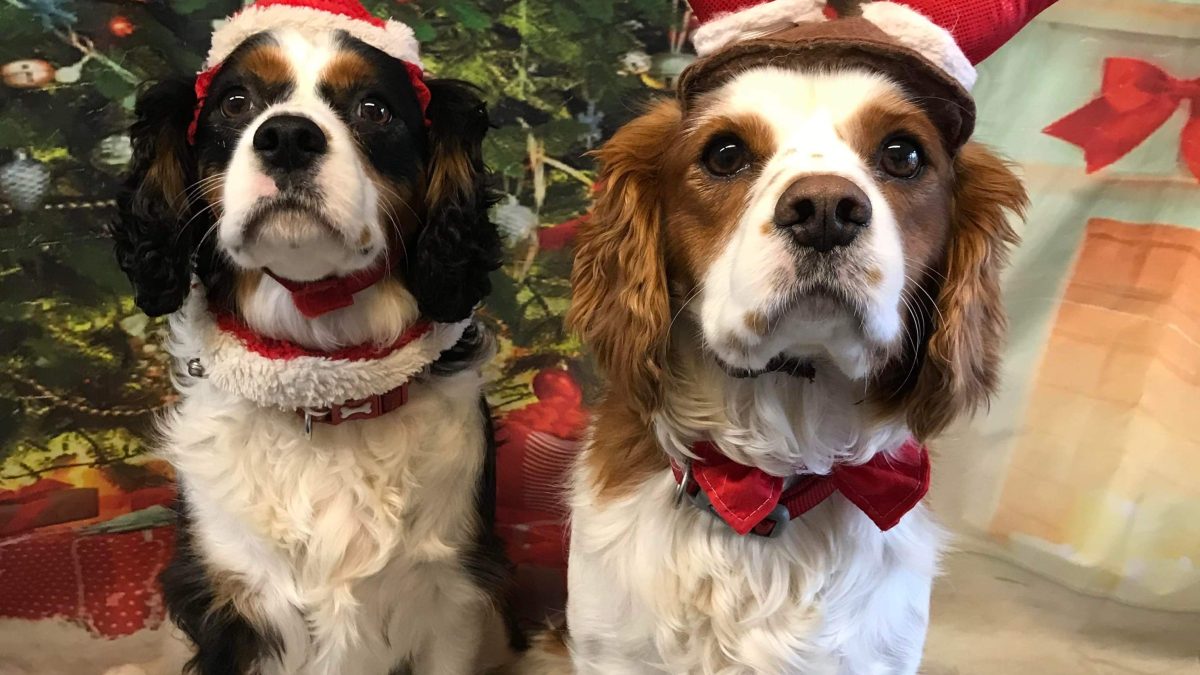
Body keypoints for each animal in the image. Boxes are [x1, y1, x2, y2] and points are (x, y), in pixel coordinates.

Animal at [111, 1, 520, 672]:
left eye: (375, 109)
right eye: (235, 102)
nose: (286, 137)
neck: (321, 394)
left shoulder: (451, 600)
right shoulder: (232, 602)